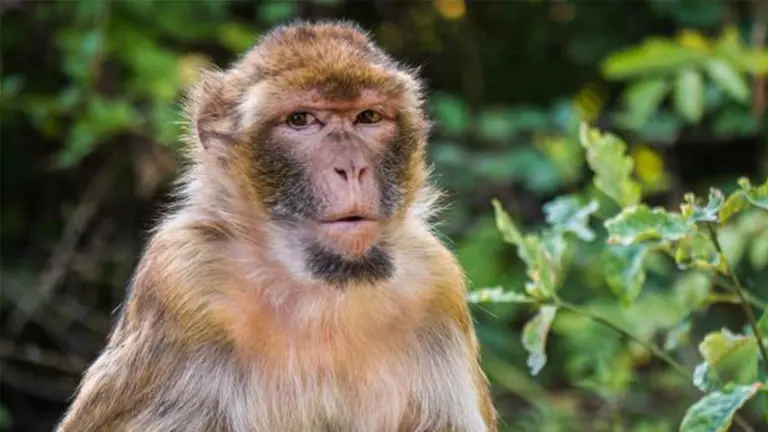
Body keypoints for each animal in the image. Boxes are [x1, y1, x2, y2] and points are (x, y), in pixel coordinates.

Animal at [56, 21, 497, 432]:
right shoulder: (182, 277)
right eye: (301, 120)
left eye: (368, 117)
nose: (352, 168)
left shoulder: (437, 286)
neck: (320, 284)